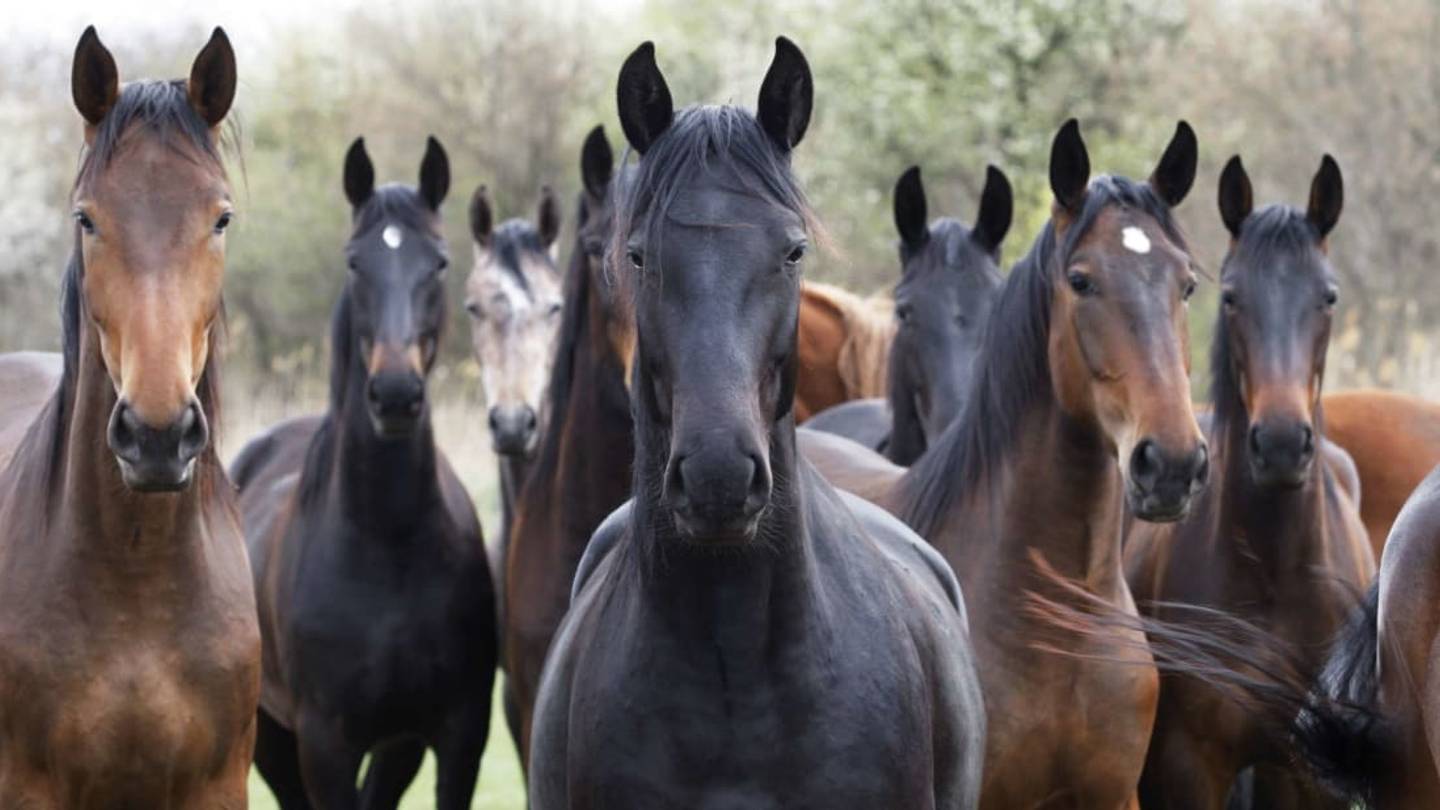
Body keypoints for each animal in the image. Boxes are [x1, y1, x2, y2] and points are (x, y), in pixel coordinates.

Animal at [232, 137, 496, 808]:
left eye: (440, 263)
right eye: (355, 263)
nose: (396, 394)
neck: (389, 540)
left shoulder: (457, 734)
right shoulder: (325, 743)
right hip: (272, 736)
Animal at [1124, 154, 1374, 809]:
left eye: (1328, 296)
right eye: (1232, 296)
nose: (1282, 444)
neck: (1273, 569)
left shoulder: (1306, 771)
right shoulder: (1188, 768)